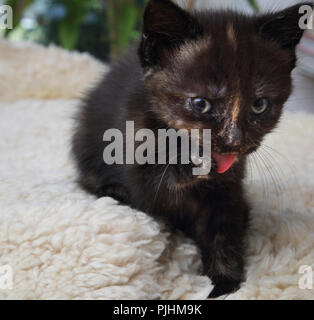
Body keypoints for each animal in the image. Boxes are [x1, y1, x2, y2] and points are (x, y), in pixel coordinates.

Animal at [72, 0, 310, 298]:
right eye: (200, 104)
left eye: (259, 105)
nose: (233, 141)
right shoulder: (133, 151)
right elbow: (154, 182)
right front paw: (191, 164)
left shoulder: (228, 189)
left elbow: (224, 227)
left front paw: (224, 282)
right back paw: (113, 190)